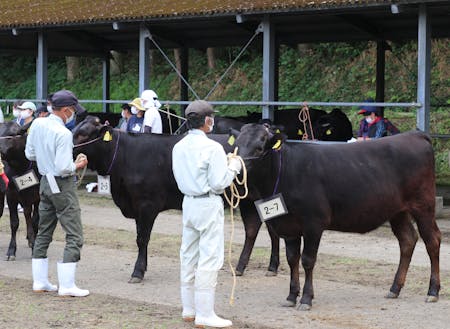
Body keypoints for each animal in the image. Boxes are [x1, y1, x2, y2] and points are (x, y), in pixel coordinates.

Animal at [0, 120, 39, 258]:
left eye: (12, 135)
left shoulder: (38, 197)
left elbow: (35, 220)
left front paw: (34, 245)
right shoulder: (11, 195)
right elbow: (14, 222)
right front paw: (11, 250)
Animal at [72, 116, 280, 282]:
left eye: (82, 135)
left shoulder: (147, 205)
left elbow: (142, 239)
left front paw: (137, 272)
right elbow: (140, 238)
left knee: (271, 230)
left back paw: (270, 266)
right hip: (249, 200)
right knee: (255, 229)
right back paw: (247, 267)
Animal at [234, 123, 442, 310]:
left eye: (259, 148)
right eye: (236, 145)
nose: (238, 170)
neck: (285, 171)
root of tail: (415, 134)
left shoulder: (314, 223)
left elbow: (307, 260)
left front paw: (306, 299)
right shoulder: (289, 225)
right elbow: (292, 259)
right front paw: (292, 296)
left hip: (423, 205)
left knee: (432, 241)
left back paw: (432, 291)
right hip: (397, 211)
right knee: (407, 240)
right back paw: (395, 288)